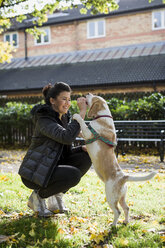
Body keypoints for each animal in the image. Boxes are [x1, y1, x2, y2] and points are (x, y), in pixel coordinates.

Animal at [73, 93, 157, 227]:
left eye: (93, 96)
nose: (87, 94)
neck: (103, 116)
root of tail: (124, 177)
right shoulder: (84, 133)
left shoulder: (88, 133)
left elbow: (82, 123)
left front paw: (76, 115)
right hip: (121, 197)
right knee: (126, 208)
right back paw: (126, 222)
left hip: (111, 198)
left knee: (118, 211)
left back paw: (113, 225)